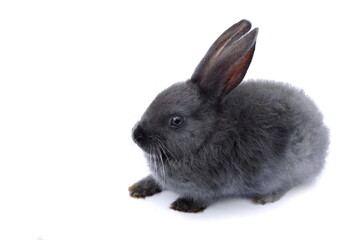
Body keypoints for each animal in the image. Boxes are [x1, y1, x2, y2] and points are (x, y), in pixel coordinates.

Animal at [129, 19, 330, 213]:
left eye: (176, 121)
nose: (136, 135)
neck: (207, 137)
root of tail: (320, 124)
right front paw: (138, 188)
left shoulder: (211, 187)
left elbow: (202, 197)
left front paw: (183, 205)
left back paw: (266, 197)